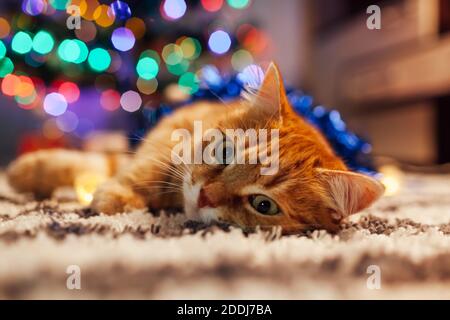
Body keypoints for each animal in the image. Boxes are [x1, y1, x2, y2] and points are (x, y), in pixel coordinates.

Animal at [7, 63, 384, 232]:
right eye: (225, 152)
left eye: (263, 205)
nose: (206, 195)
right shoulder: (172, 133)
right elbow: (144, 169)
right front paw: (118, 197)